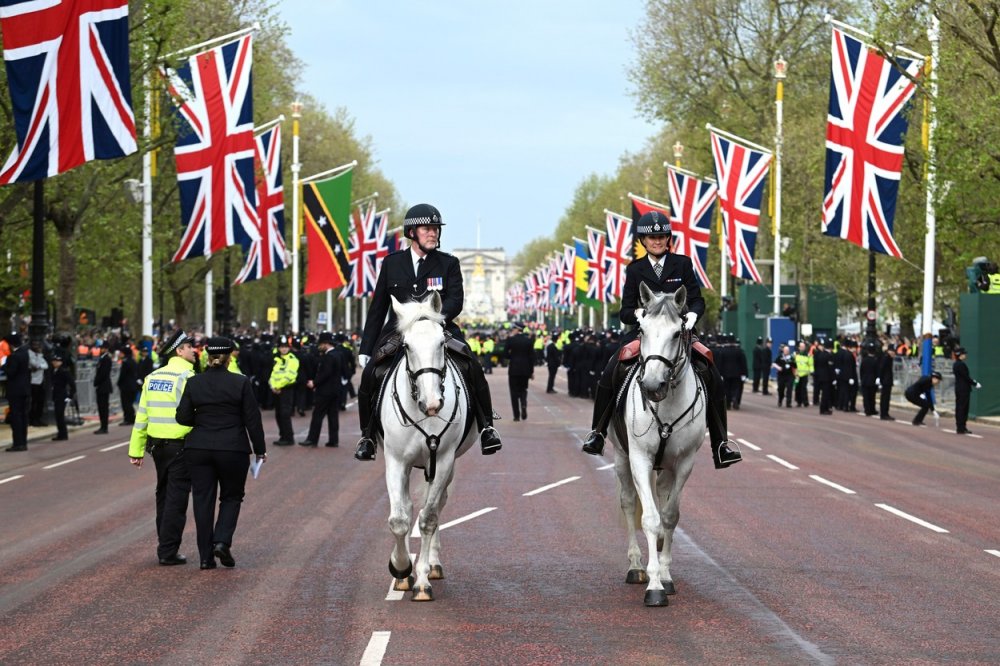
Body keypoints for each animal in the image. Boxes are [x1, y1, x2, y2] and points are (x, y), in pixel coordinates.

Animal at [382, 290, 476, 596]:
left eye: (442, 343)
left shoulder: (443, 459)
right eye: (406, 346)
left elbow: (428, 518)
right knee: (410, 506)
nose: (433, 403)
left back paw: (433, 564)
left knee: (435, 505)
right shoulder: (396, 460)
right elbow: (400, 519)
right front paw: (401, 568)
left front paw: (421, 579)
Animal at [604, 282, 708, 604]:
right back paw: (636, 566)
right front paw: (653, 585)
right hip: (621, 456)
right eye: (642, 330)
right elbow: (649, 518)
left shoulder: (685, 461)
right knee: (628, 502)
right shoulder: (639, 457)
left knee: (662, 496)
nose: (651, 386)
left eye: (676, 333)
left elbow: (670, 515)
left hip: (667, 465)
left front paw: (664, 575)